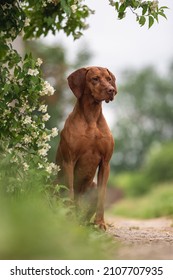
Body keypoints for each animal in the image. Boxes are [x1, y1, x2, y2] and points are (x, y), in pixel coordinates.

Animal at [56, 66, 117, 230]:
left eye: (109, 79)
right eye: (95, 79)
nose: (111, 90)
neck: (92, 117)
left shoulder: (105, 163)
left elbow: (102, 196)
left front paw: (100, 223)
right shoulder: (69, 161)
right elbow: (70, 191)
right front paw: (68, 220)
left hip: (93, 186)